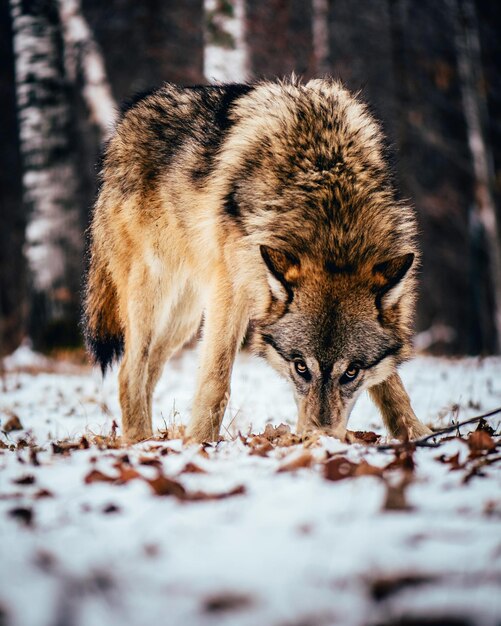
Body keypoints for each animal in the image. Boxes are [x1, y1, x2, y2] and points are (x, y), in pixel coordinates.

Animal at [84, 75, 432, 442]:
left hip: (185, 317)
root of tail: (126, 118)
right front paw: (199, 442)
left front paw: (418, 433)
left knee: (148, 372)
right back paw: (139, 442)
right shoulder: (231, 289)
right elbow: (216, 379)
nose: (319, 437)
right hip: (155, 294)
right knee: (129, 372)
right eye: (300, 366)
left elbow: (392, 384)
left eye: (352, 371)